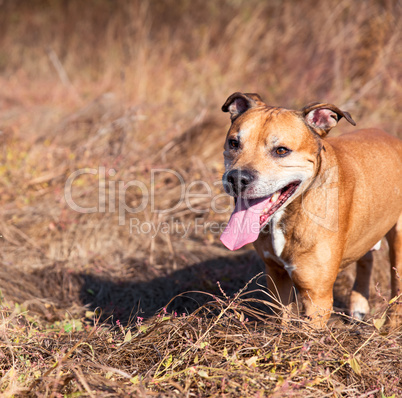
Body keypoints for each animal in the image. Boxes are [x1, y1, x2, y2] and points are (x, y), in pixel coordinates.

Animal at [220, 92, 402, 326]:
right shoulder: (277, 278)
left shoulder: (316, 298)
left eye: (281, 150)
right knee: (366, 258)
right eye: (234, 143)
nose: (237, 178)